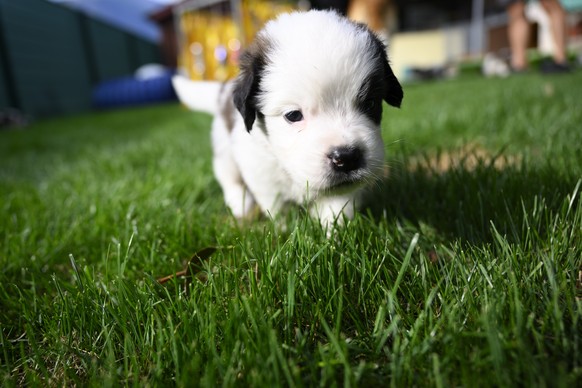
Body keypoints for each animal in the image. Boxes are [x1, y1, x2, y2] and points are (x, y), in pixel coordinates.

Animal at [171, 9, 404, 226]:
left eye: (370, 104)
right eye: (293, 115)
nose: (346, 157)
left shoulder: (342, 191)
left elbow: (337, 207)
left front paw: (333, 233)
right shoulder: (260, 171)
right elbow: (276, 207)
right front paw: (282, 229)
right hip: (224, 146)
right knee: (228, 176)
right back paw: (240, 203)